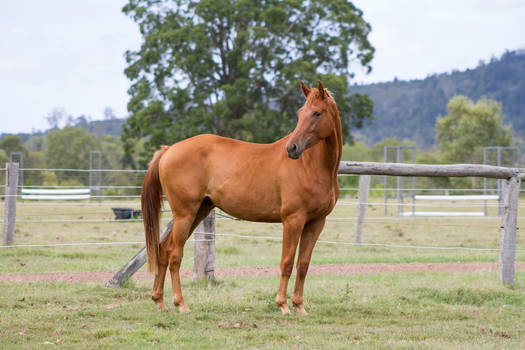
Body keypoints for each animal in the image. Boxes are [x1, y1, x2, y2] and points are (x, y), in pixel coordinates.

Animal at [141, 81, 342, 314]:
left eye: (317, 113)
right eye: (301, 113)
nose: (292, 148)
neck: (311, 165)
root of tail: (169, 150)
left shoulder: (316, 222)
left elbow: (303, 264)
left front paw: (299, 306)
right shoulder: (293, 219)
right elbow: (287, 262)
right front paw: (283, 305)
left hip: (199, 211)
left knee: (163, 250)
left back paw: (159, 300)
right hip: (185, 214)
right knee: (174, 254)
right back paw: (180, 303)